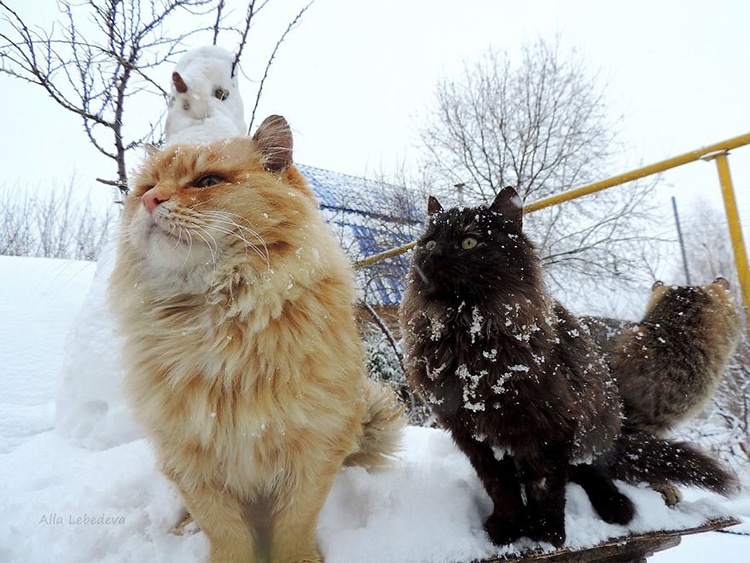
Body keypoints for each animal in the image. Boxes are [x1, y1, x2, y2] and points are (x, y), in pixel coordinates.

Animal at [400, 188, 636, 548]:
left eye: (469, 241)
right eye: (428, 243)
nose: (433, 255)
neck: (468, 338)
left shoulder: (551, 428)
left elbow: (545, 488)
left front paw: (547, 533)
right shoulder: (474, 436)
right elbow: (502, 487)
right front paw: (508, 527)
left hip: (595, 426)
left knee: (590, 469)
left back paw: (616, 506)